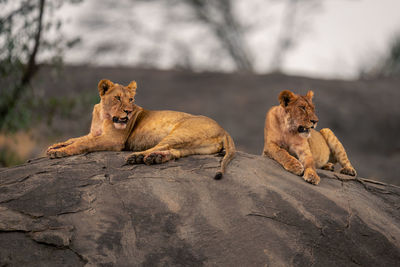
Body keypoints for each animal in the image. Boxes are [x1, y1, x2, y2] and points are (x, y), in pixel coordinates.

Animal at [46, 79, 234, 180]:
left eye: (131, 99)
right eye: (117, 98)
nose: (129, 111)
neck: (104, 115)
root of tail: (224, 129)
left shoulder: (114, 141)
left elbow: (82, 144)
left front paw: (59, 152)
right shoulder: (94, 133)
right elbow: (75, 139)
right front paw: (55, 146)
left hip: (180, 132)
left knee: (161, 146)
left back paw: (137, 157)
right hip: (194, 147)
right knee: (175, 152)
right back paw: (155, 158)